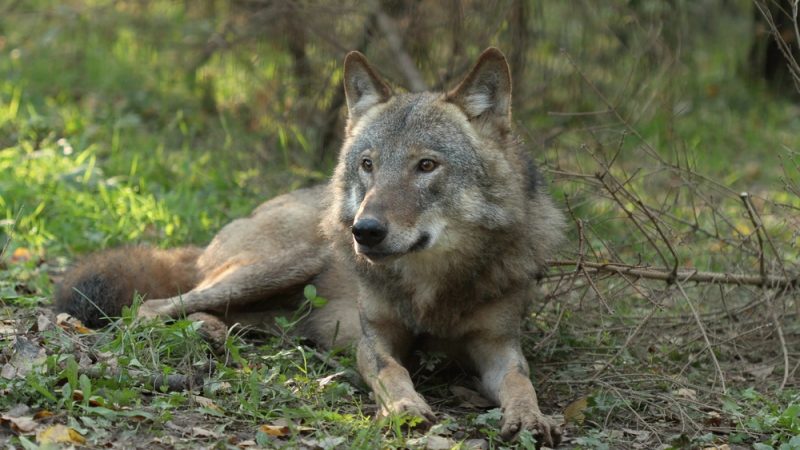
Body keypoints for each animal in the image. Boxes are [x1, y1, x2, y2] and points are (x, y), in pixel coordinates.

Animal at [56, 48, 564, 446]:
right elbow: (392, 372)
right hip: (286, 265)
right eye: (368, 165)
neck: (430, 289)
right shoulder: (374, 338)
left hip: (282, 309)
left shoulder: (498, 346)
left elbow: (521, 383)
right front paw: (405, 408)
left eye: (426, 165)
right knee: (154, 306)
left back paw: (213, 333)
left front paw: (531, 419)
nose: (365, 230)